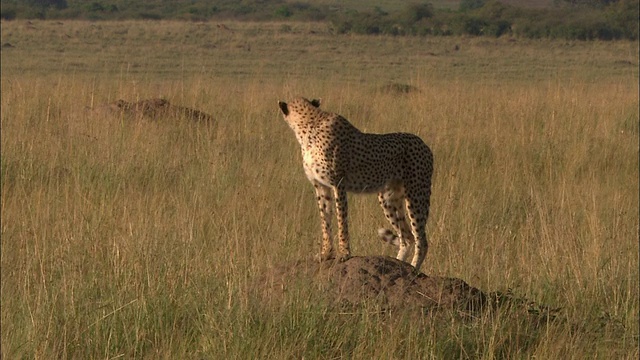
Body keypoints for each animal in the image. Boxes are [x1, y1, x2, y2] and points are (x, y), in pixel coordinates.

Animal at [278, 97, 432, 272]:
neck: (308, 127)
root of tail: (423, 143)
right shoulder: (320, 186)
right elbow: (325, 220)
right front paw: (326, 253)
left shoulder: (338, 184)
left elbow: (341, 220)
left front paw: (344, 253)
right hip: (388, 199)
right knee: (407, 237)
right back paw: (398, 264)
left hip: (416, 196)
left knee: (421, 240)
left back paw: (413, 269)